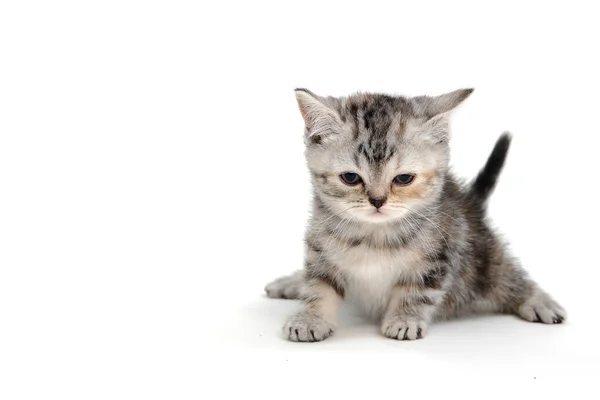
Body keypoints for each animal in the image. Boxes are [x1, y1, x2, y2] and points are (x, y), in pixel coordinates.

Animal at [264, 88, 564, 340]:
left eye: (403, 179)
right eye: (350, 178)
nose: (377, 200)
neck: (373, 235)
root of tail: (469, 203)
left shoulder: (440, 254)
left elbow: (418, 291)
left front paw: (405, 319)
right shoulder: (319, 249)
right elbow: (318, 286)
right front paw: (309, 318)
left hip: (483, 259)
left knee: (509, 278)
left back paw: (538, 300)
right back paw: (291, 282)